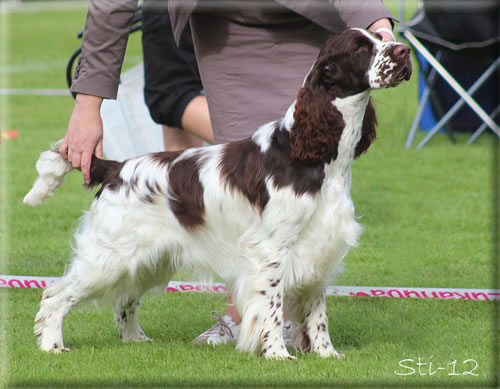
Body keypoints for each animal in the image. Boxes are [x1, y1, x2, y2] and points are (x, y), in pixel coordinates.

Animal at [25, 28, 412, 360]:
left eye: (381, 38)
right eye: (361, 49)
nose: (404, 50)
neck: (313, 155)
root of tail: (115, 167)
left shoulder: (319, 247)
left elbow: (317, 313)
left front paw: (327, 354)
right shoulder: (272, 250)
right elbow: (272, 308)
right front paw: (277, 354)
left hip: (149, 258)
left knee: (125, 300)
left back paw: (136, 339)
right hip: (108, 256)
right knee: (55, 295)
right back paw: (52, 345)